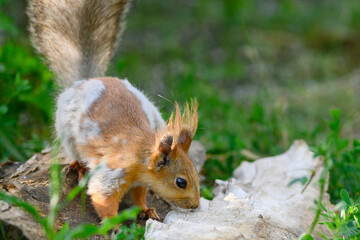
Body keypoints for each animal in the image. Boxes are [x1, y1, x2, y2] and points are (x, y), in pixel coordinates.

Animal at [27, 0, 202, 221]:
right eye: (181, 182)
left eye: (196, 171)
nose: (195, 205)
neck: (141, 156)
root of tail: (87, 80)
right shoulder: (113, 171)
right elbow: (102, 197)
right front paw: (113, 223)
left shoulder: (139, 182)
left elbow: (139, 195)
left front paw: (146, 209)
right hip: (66, 132)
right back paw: (79, 166)